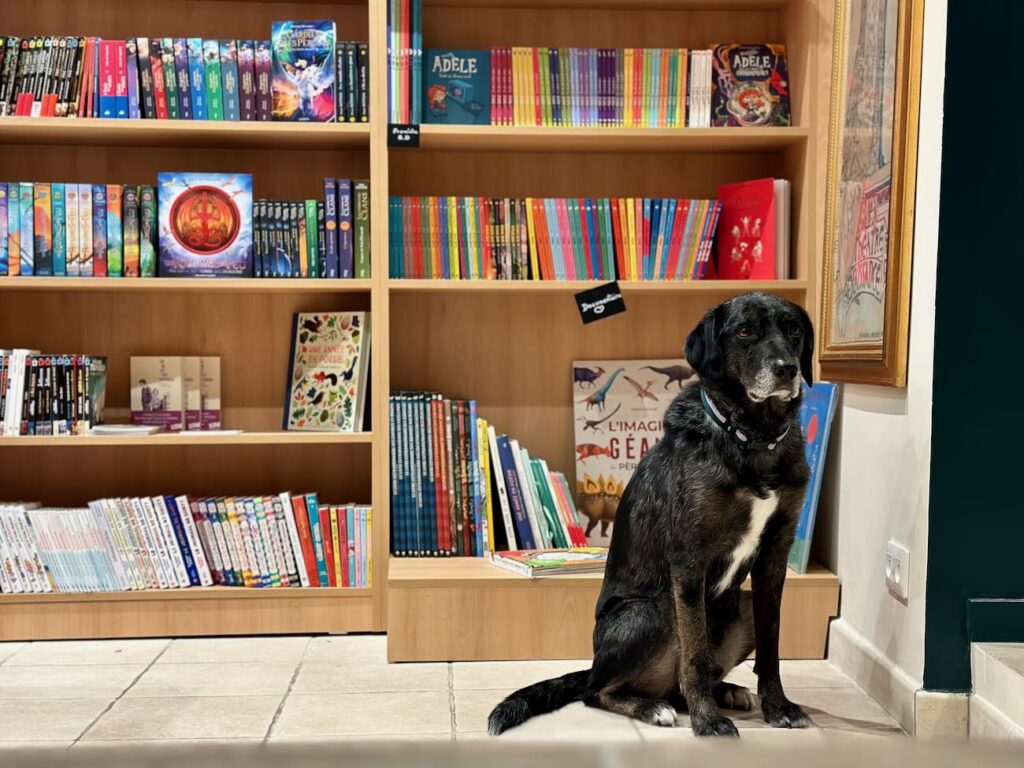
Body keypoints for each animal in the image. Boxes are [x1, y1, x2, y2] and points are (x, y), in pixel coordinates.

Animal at [491, 290, 819, 737]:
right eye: (744, 331)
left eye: (794, 330)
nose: (787, 370)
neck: (752, 438)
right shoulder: (689, 558)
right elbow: (694, 654)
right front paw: (707, 722)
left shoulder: (774, 557)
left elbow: (772, 649)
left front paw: (779, 707)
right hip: (655, 609)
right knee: (599, 690)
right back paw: (653, 708)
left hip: (742, 605)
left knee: (683, 680)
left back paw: (726, 691)